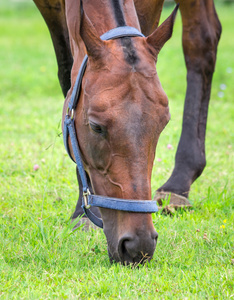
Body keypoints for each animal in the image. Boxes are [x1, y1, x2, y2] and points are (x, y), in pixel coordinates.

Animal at [33, 0, 221, 264]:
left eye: (163, 124)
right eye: (96, 126)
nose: (138, 245)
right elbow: (67, 72)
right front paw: (83, 212)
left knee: (201, 43)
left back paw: (178, 184)